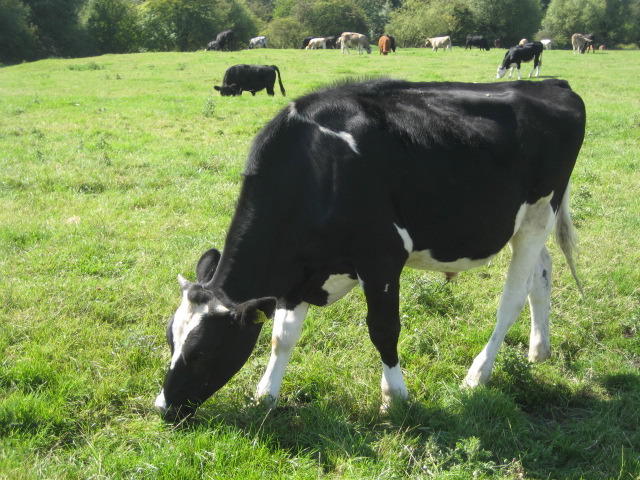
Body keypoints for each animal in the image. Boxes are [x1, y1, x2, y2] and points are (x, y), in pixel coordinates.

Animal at [154, 78, 586, 421]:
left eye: (202, 352)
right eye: (171, 341)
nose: (162, 408)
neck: (318, 167)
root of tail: (551, 84)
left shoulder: (381, 259)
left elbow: (383, 329)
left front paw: (394, 397)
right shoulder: (300, 272)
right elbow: (282, 336)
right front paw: (266, 395)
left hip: (538, 213)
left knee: (512, 298)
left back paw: (477, 375)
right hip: (528, 222)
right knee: (542, 272)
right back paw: (539, 350)